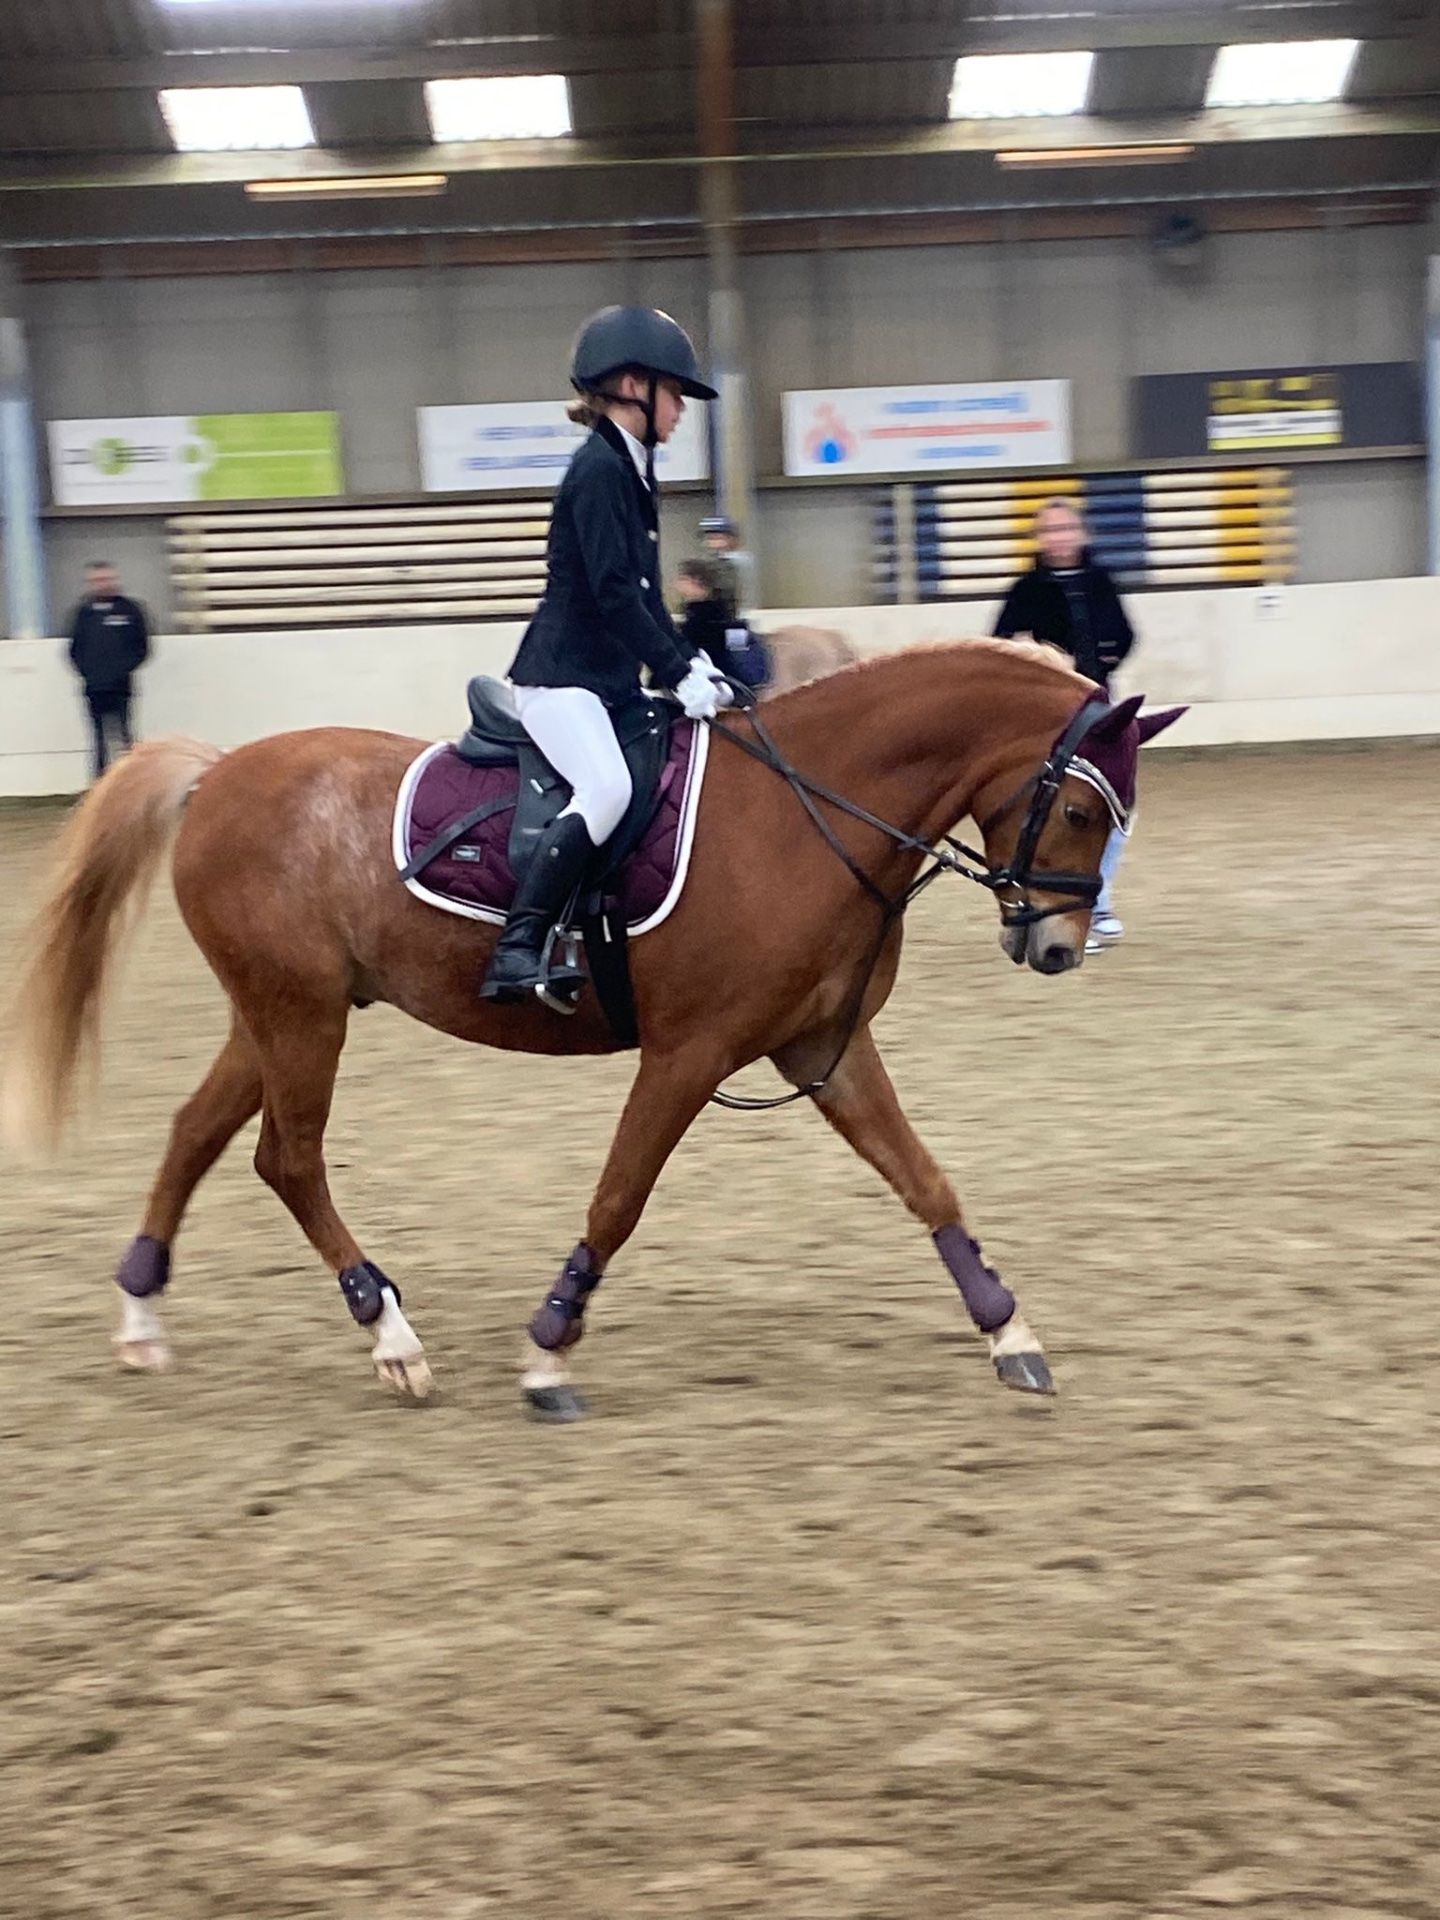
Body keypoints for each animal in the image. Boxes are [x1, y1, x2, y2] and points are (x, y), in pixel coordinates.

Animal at [2, 640, 1181, 1421]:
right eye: (1083, 811)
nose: (1058, 947)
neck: (809, 815)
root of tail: (216, 775)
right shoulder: (691, 1053)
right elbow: (618, 1198)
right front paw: (548, 1355)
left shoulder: (821, 1049)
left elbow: (926, 1181)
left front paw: (1011, 1333)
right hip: (298, 1014)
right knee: (287, 1160)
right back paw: (392, 1339)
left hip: (283, 1009)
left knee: (197, 1132)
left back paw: (142, 1322)